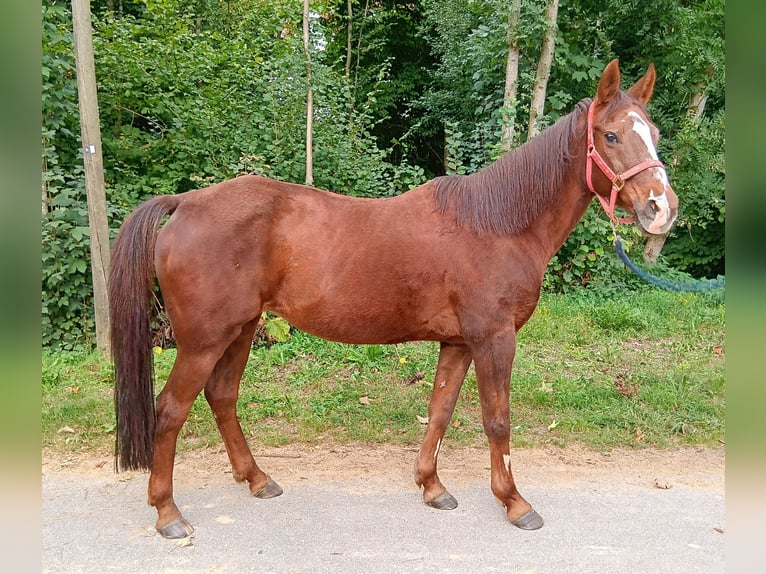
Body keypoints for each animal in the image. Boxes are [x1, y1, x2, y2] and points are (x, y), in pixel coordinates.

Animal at [106, 59, 680, 540]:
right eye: (610, 136)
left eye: (653, 135)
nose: (661, 209)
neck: (497, 224)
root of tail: (185, 203)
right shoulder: (494, 339)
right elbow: (497, 420)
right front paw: (515, 503)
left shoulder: (459, 342)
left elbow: (441, 411)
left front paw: (432, 487)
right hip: (204, 340)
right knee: (170, 410)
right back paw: (168, 513)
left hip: (242, 329)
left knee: (222, 396)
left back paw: (257, 478)